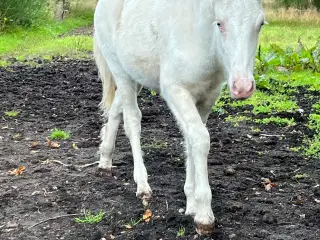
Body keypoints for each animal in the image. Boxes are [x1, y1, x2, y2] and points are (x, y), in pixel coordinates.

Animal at [94, 0, 266, 233]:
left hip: (135, 75)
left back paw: (105, 157)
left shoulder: (207, 98)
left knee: (115, 109)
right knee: (132, 120)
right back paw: (142, 184)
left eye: (260, 24)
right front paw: (203, 215)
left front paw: (191, 204)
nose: (242, 87)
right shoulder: (175, 90)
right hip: (120, 70)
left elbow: (191, 140)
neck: (201, 39)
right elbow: (200, 139)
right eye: (219, 23)